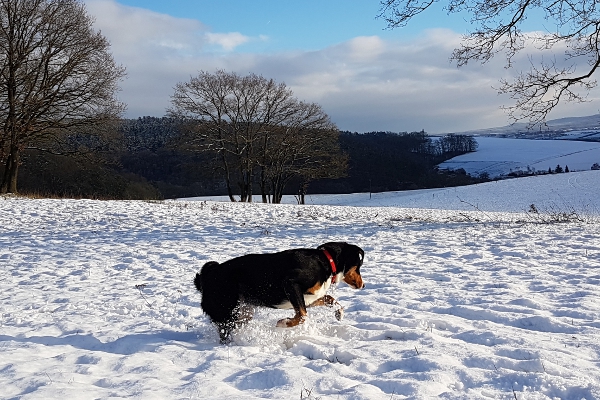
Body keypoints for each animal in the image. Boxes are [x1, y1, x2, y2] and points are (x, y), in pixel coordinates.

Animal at [196, 242, 366, 342]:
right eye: (358, 266)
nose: (363, 285)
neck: (326, 262)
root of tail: (208, 274)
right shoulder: (291, 284)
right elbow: (302, 316)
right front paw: (284, 323)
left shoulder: (308, 298)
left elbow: (330, 299)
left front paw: (339, 313)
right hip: (226, 311)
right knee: (224, 332)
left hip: (243, 313)